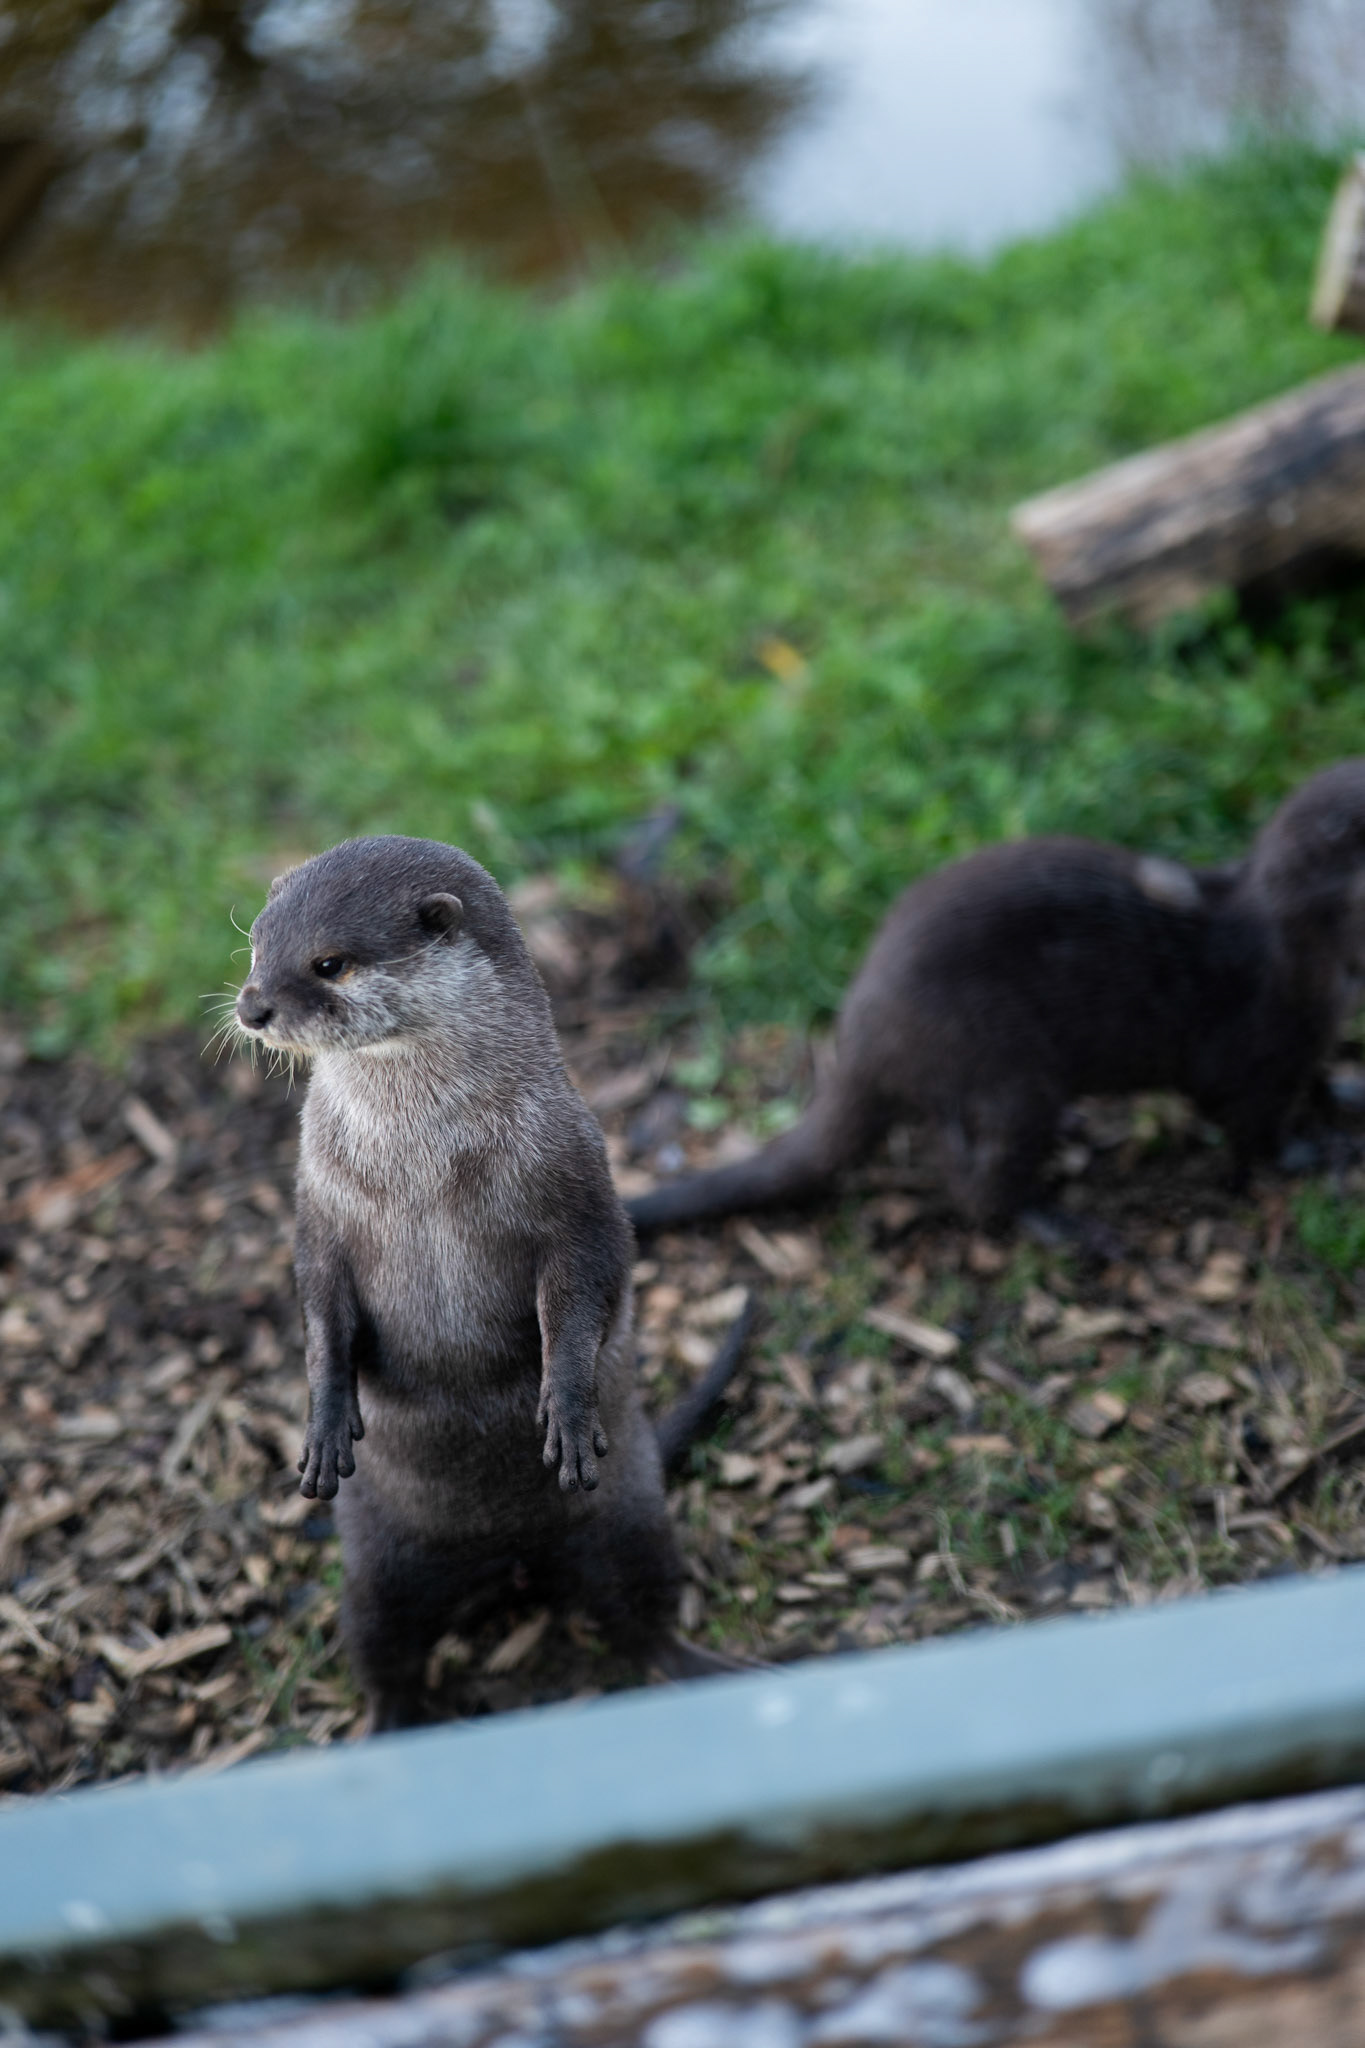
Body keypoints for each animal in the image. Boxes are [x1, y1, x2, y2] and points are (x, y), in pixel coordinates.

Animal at [234, 837, 737, 1730]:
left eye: (328, 963)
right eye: (256, 943)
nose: (251, 1008)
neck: (424, 1162)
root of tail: (509, 1561)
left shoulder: (576, 1186)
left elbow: (587, 1291)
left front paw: (565, 1407)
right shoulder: (320, 1209)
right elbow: (320, 1312)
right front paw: (323, 1421)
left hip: (632, 1523)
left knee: (643, 1621)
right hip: (377, 1579)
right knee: (386, 1657)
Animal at [628, 761, 1365, 1236]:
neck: (1304, 951)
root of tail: (861, 1031)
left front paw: (1340, 1098)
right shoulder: (1259, 1040)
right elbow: (1251, 1125)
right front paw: (1313, 1153)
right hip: (1004, 1070)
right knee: (978, 1194)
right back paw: (1062, 1225)